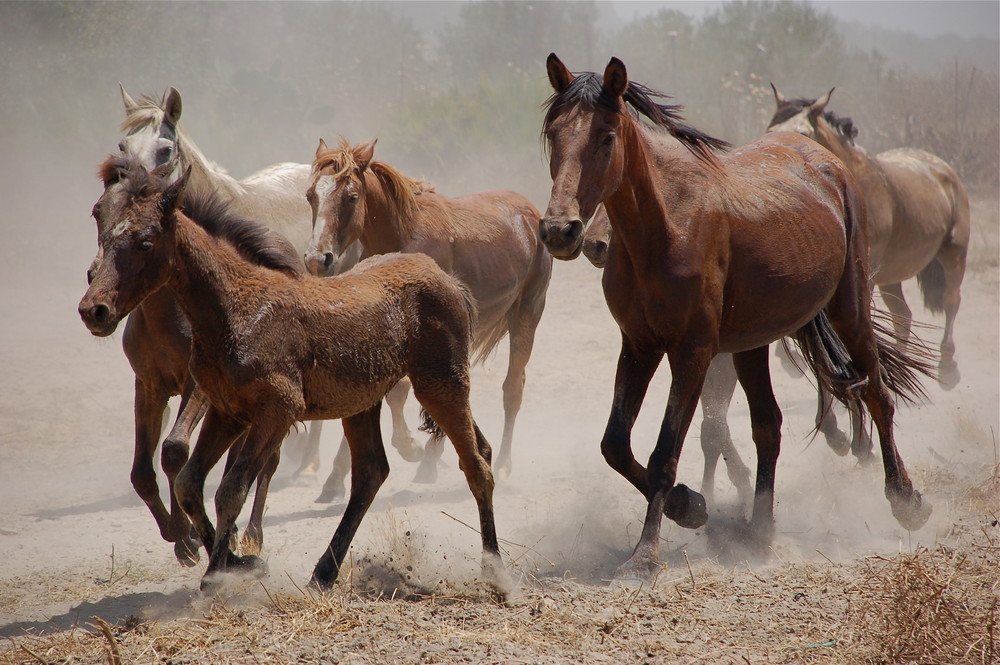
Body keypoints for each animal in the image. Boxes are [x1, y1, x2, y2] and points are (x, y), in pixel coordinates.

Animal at [76, 158, 508, 592]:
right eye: (103, 228)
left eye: (145, 242)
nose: (93, 309)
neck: (237, 307)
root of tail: (449, 280)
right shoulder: (227, 411)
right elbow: (190, 483)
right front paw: (235, 559)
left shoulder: (277, 409)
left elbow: (231, 488)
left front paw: (219, 573)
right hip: (366, 402)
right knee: (374, 472)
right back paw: (324, 572)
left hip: (441, 383)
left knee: (477, 467)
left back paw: (495, 570)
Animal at [304, 136, 556, 488]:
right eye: (310, 195)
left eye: (352, 197)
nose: (318, 259)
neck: (404, 236)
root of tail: (530, 214)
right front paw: (336, 476)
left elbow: (398, 394)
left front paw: (409, 446)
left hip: (527, 314)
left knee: (512, 389)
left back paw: (501, 464)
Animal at [764, 84, 968, 390]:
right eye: (769, 130)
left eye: (804, 133)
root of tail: (942, 168)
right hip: (891, 275)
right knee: (903, 316)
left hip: (954, 254)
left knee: (950, 301)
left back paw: (947, 368)